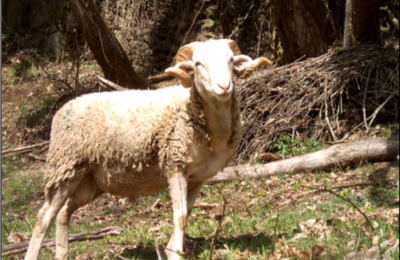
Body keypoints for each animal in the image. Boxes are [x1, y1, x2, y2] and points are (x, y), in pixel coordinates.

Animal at [22, 39, 272, 260]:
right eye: (198, 64)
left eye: (231, 60)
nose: (224, 86)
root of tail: (62, 109)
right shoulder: (175, 165)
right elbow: (180, 216)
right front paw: (176, 254)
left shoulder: (198, 177)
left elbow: (186, 213)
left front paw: (171, 250)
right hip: (66, 167)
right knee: (43, 217)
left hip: (90, 181)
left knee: (64, 213)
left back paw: (62, 254)